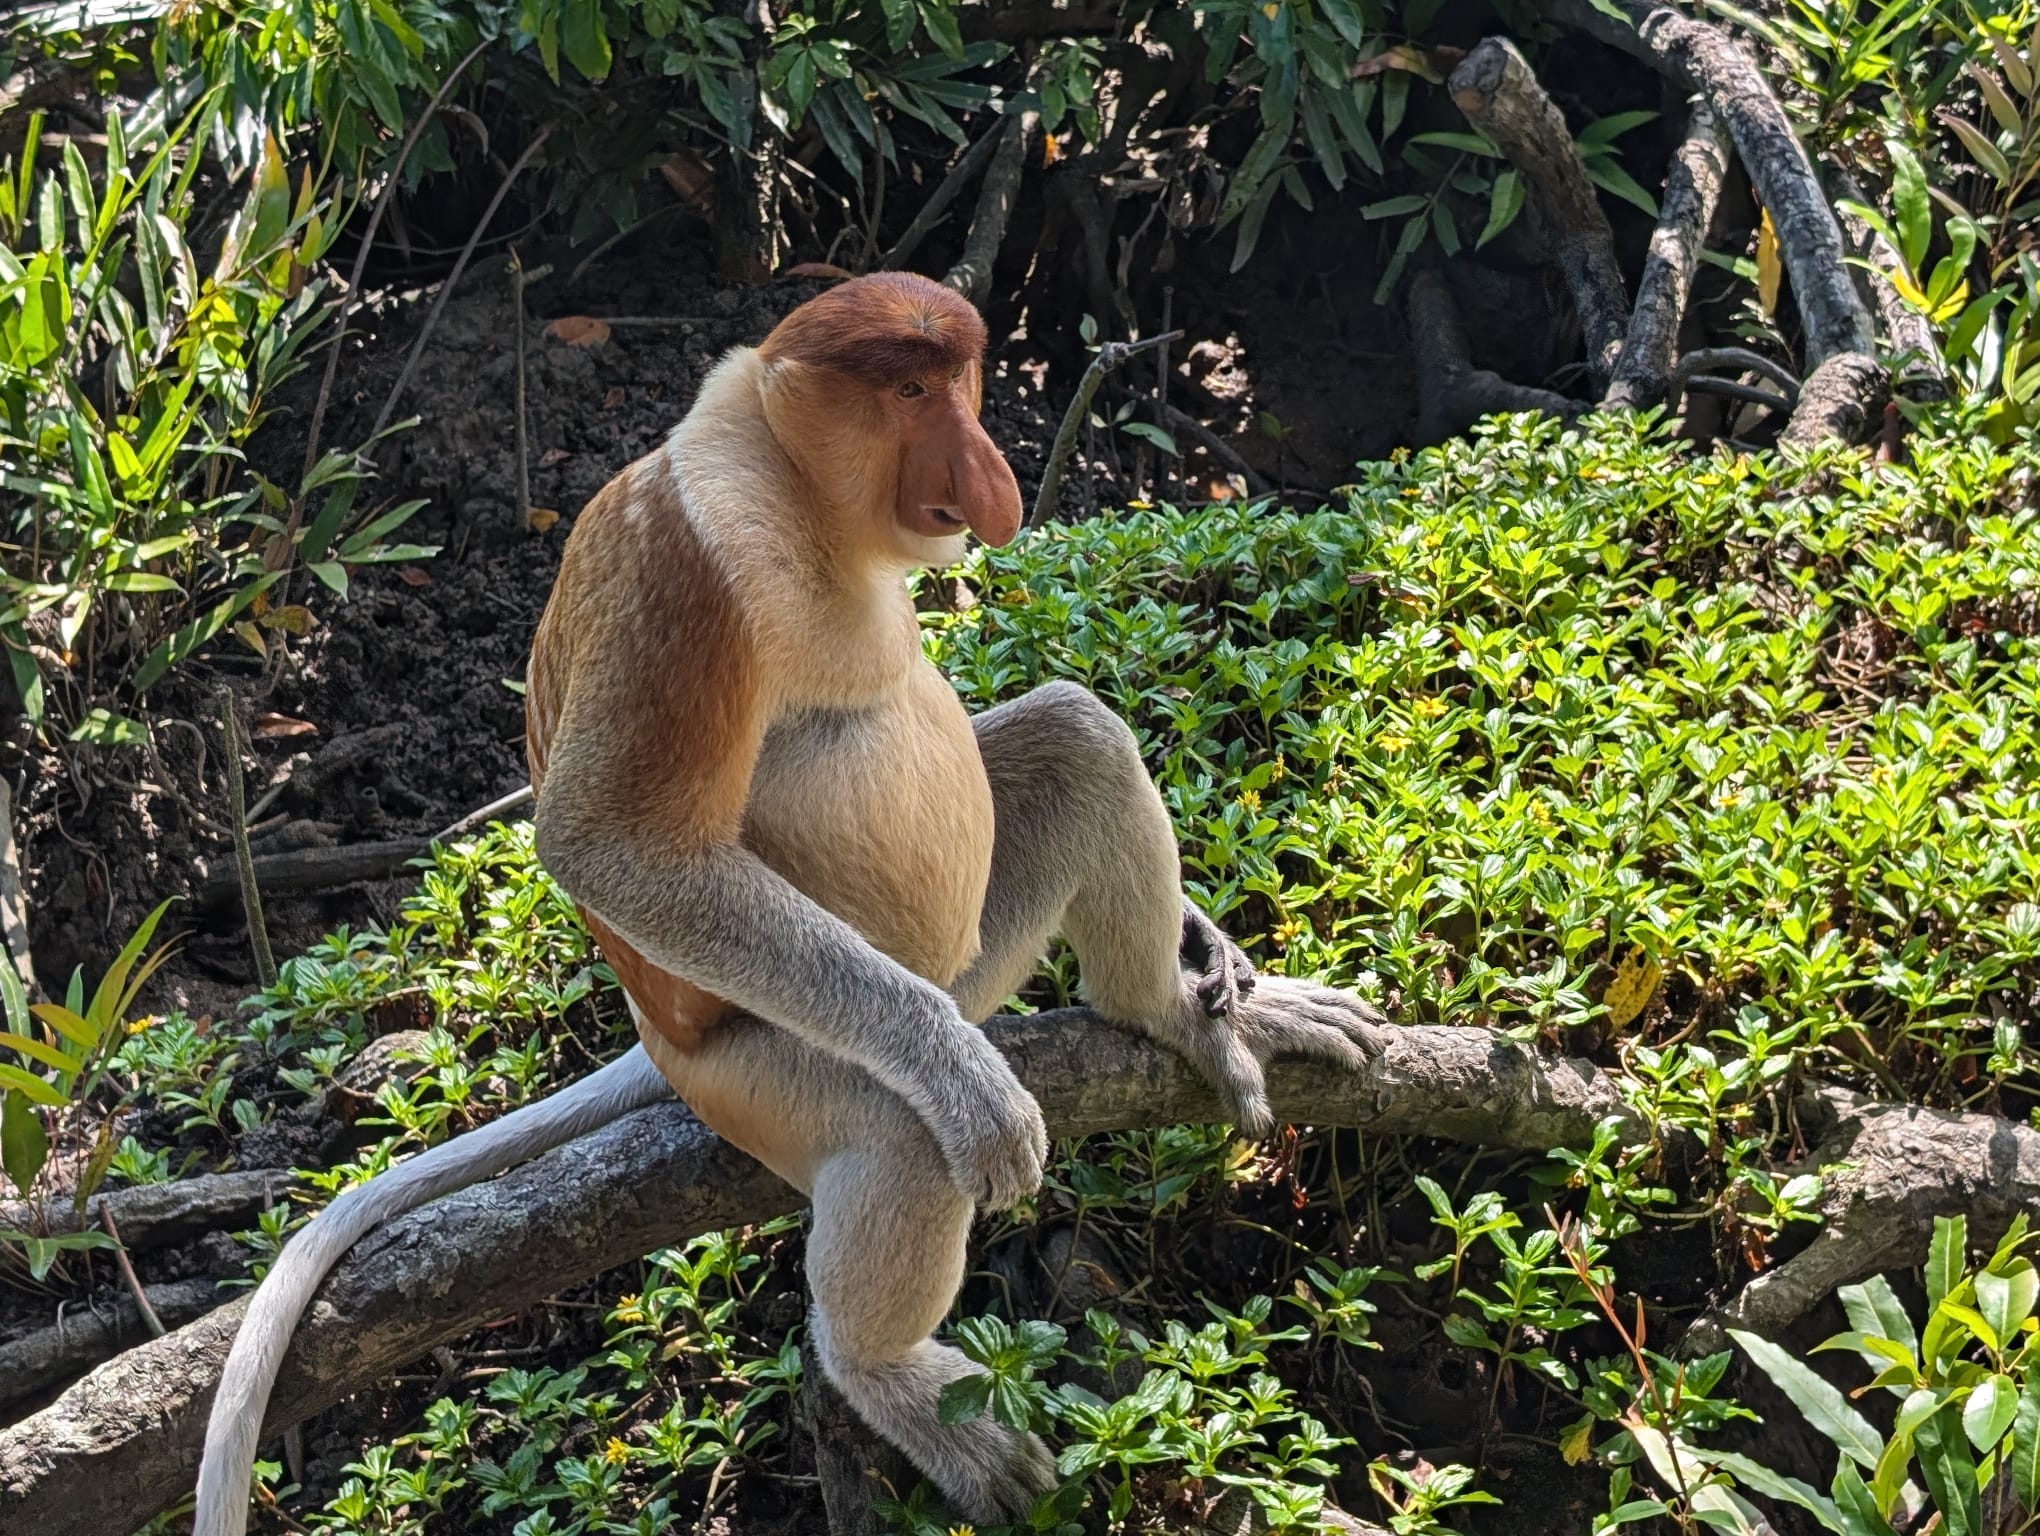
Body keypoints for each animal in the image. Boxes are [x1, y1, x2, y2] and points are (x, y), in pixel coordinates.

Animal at [198, 273, 1387, 1525]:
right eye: (908, 391)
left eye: (958, 383)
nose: (989, 477)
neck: (796, 487)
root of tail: (659, 1037)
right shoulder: (691, 567)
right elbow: (613, 845)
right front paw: (975, 1095)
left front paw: (1217, 957)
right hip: (754, 1073)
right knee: (898, 1136)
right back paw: (890, 1367)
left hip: (968, 956)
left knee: (1078, 735)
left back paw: (1169, 1009)